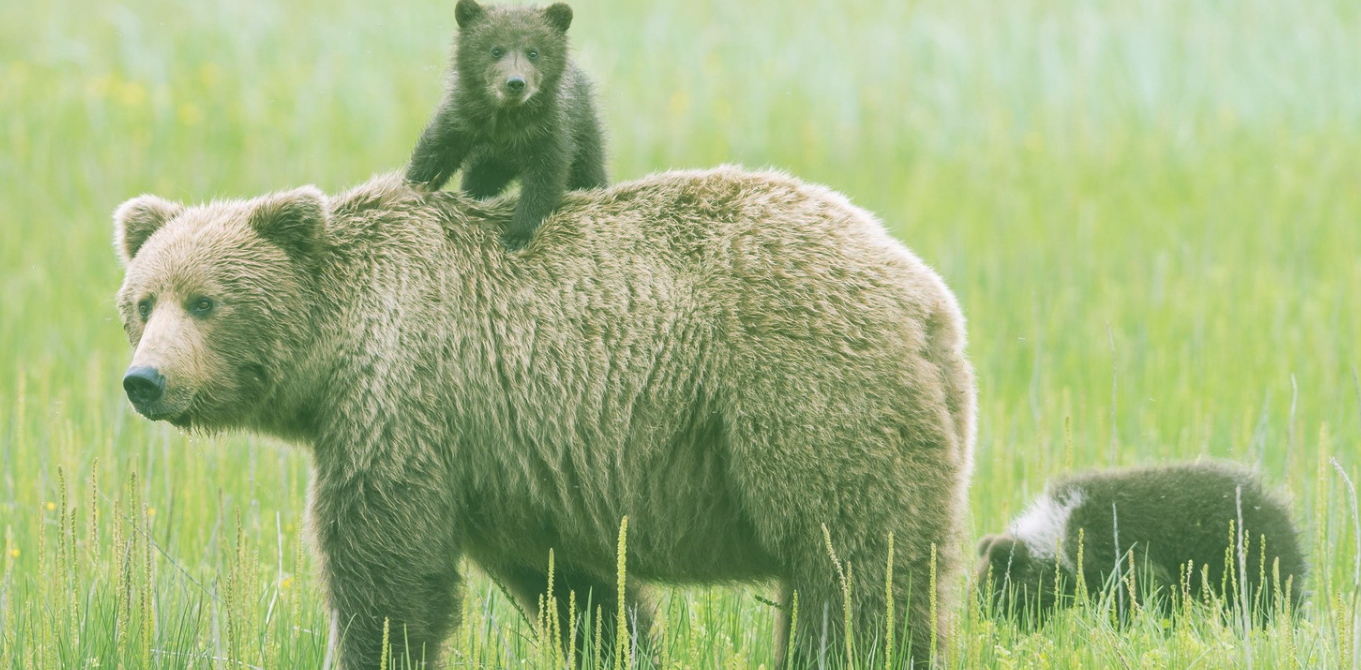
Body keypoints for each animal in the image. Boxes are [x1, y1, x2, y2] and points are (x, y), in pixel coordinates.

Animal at [112, 166, 976, 670]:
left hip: (806, 391)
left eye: (205, 301)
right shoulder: (515, 462)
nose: (145, 381)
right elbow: (580, 587)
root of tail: (923, 293)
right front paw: (620, 646)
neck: (336, 343)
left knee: (854, 563)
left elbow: (385, 573)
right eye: (142, 301)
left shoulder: (401, 397)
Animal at [405, 0, 608, 250]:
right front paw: (410, 187)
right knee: (478, 181)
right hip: (489, 162)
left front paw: (517, 234)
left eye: (533, 52)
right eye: (496, 50)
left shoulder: (547, 130)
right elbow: (435, 153)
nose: (515, 82)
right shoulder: (463, 119)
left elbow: (545, 179)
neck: (506, 120)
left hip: (585, 133)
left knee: (590, 173)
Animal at [976, 461, 1305, 626]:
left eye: (996, 592)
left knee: (1269, 598)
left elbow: (1133, 596)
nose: (980, 620)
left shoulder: (1115, 552)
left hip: (1246, 555)